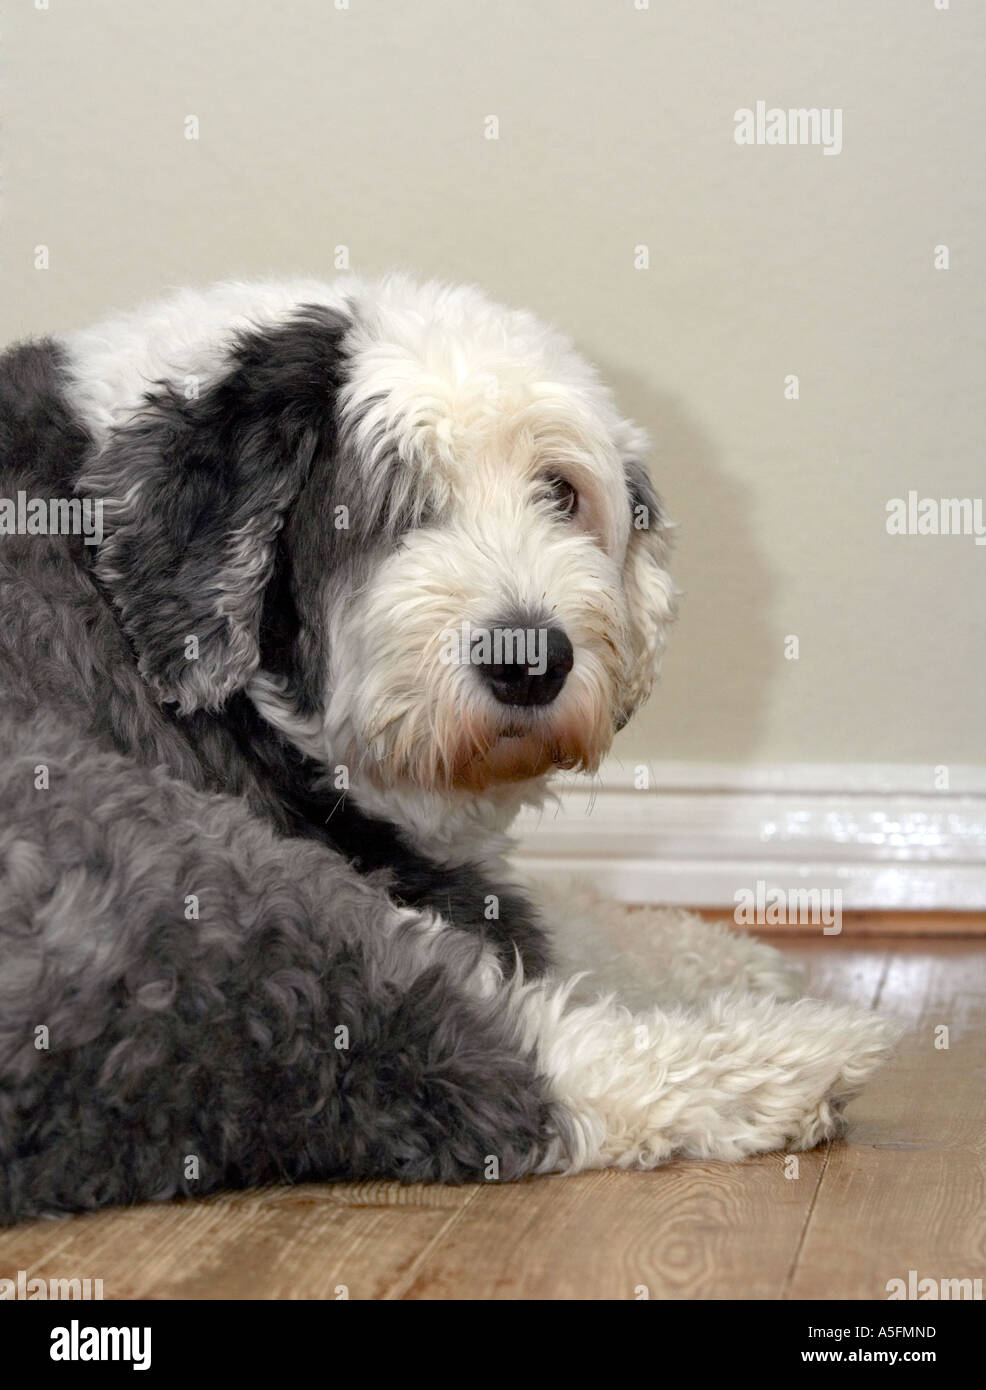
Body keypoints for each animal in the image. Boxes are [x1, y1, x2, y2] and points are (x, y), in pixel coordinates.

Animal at [0, 276, 890, 1223]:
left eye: (560, 491)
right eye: (387, 505)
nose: (528, 659)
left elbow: (567, 916)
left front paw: (729, 953)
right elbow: (537, 940)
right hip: (175, 874)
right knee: (464, 1049)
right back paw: (799, 1059)